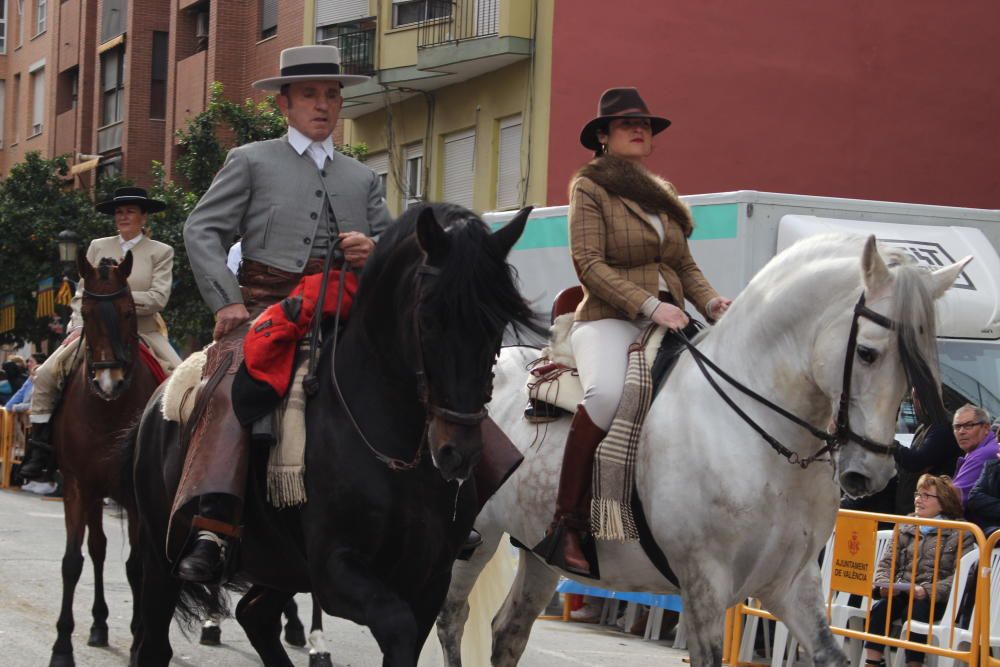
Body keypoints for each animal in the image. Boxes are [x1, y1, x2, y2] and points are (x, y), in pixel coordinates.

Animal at [47, 252, 162, 667]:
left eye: (129, 311)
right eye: (85, 311)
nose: (109, 381)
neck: (108, 410)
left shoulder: (135, 495)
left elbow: (137, 567)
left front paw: (140, 636)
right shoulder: (77, 486)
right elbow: (72, 561)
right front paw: (62, 647)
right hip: (96, 493)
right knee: (97, 549)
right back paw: (98, 625)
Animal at [130, 205, 544, 667]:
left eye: (497, 321)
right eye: (429, 317)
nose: (459, 452)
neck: (398, 453)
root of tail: (159, 400)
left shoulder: (429, 579)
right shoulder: (335, 572)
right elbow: (396, 627)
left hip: (281, 563)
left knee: (255, 615)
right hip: (161, 553)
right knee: (155, 643)